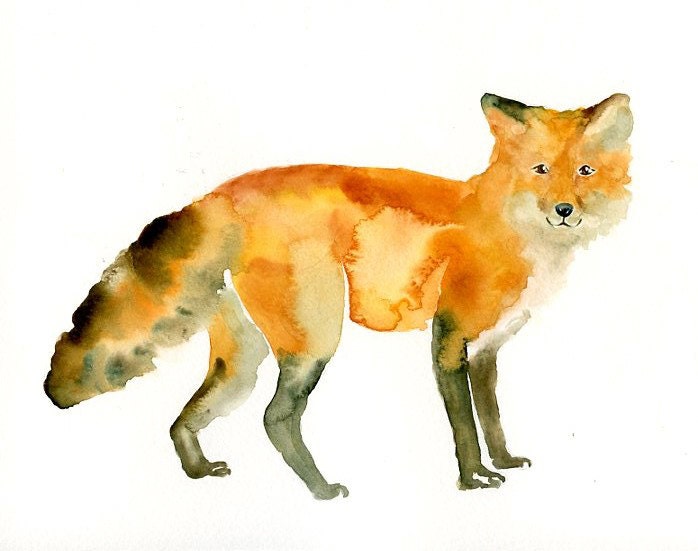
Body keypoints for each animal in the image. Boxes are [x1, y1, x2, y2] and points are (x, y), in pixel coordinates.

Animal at [45, 93, 633, 499]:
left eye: (585, 171)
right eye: (540, 170)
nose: (564, 210)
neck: (500, 218)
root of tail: (222, 192)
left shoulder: (487, 349)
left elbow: (491, 416)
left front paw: (504, 461)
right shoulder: (448, 338)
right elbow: (465, 424)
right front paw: (473, 478)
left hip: (243, 359)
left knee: (181, 418)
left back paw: (197, 468)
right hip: (315, 342)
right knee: (275, 419)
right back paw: (321, 490)